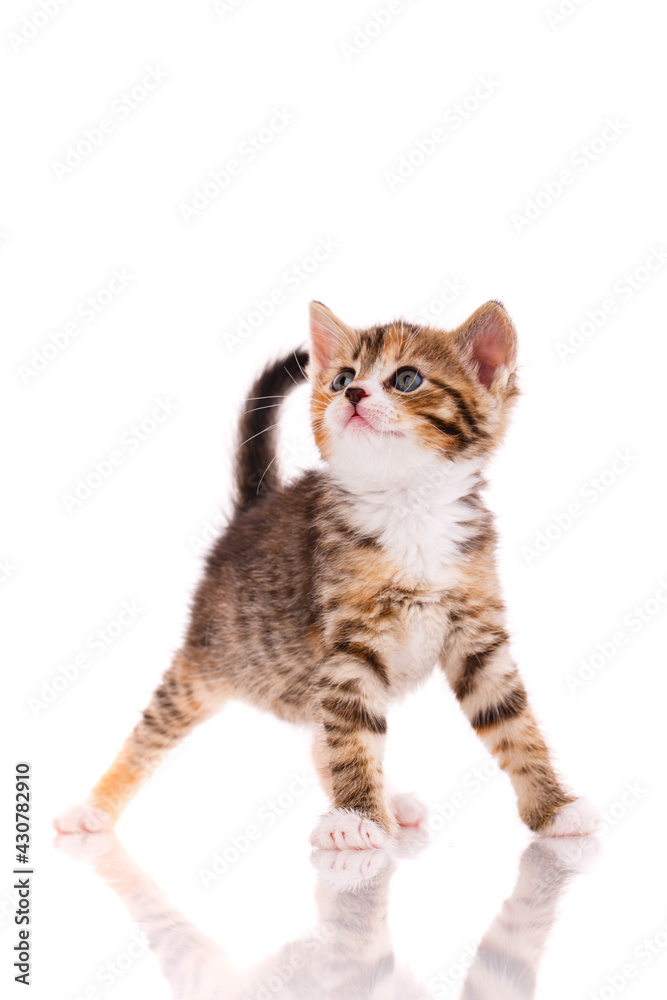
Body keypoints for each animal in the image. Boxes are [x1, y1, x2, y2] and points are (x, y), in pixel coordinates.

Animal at [57, 300, 596, 848]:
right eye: (341, 379)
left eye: (407, 378)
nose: (353, 394)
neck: (408, 507)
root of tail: (255, 508)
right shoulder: (348, 647)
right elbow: (352, 734)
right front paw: (357, 819)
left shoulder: (478, 637)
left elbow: (512, 722)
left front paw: (554, 808)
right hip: (209, 658)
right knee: (154, 728)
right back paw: (94, 807)